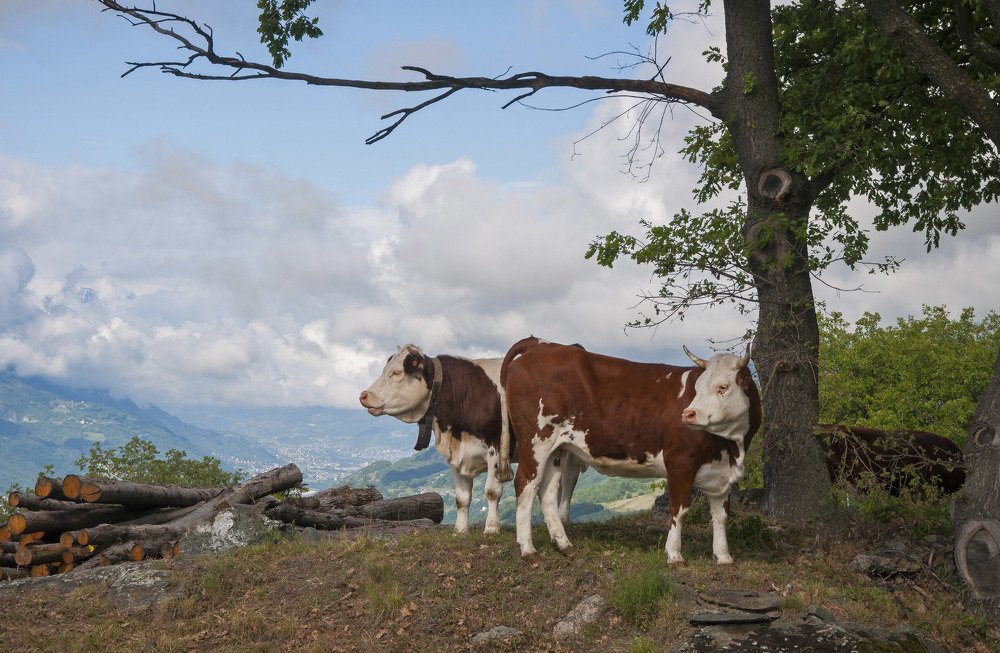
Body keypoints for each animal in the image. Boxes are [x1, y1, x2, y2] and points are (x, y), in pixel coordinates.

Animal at [359, 345, 584, 534]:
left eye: (397, 372)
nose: (364, 395)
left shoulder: (495, 449)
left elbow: (492, 491)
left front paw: (491, 528)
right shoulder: (455, 455)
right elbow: (461, 498)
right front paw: (460, 530)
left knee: (569, 479)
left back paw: (563, 518)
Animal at [500, 336, 761, 564]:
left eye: (722, 386)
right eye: (696, 388)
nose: (688, 413)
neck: (732, 447)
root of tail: (542, 344)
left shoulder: (722, 473)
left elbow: (721, 515)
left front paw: (724, 557)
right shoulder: (680, 462)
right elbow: (679, 510)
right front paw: (674, 555)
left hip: (557, 449)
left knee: (547, 491)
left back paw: (564, 544)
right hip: (536, 442)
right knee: (525, 485)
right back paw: (527, 549)